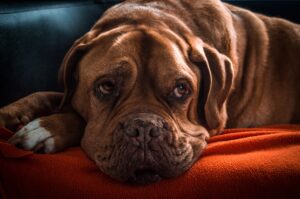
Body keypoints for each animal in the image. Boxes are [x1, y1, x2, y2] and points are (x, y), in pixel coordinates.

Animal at [0, 0, 300, 184]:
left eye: (181, 89)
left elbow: (77, 118)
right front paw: (13, 112)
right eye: (106, 86)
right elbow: (52, 95)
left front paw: (46, 128)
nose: (144, 128)